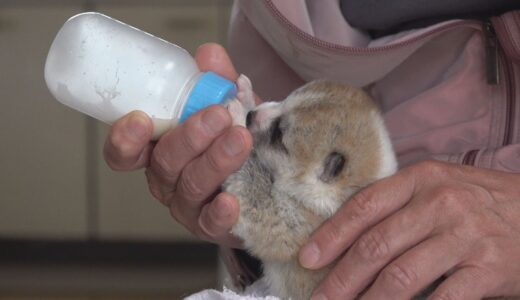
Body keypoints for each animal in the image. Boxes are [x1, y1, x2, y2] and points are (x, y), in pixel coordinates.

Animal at [221, 78, 396, 300]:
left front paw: (236, 116)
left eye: (279, 135)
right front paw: (245, 97)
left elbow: (259, 205)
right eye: (285, 99)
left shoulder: (300, 224)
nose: (251, 116)